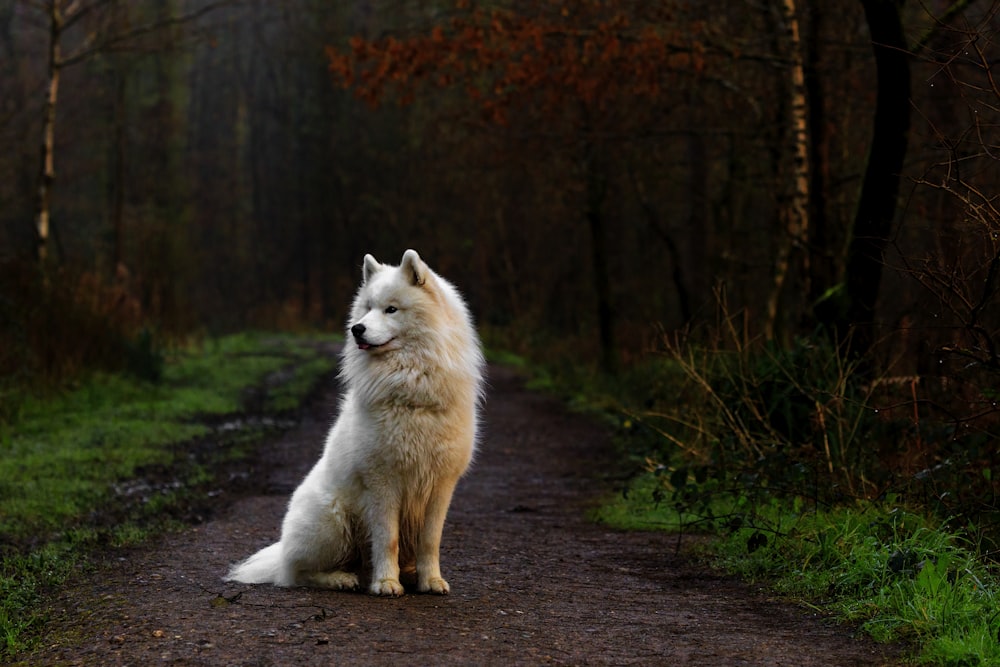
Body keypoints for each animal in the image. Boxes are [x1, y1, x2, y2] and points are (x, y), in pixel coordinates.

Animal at [230, 250, 488, 596]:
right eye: (367, 308)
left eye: (391, 309)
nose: (357, 329)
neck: (411, 387)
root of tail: (282, 547)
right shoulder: (382, 482)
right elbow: (387, 539)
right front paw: (386, 583)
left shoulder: (441, 484)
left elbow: (430, 540)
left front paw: (431, 581)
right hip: (334, 524)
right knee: (297, 572)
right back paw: (343, 579)